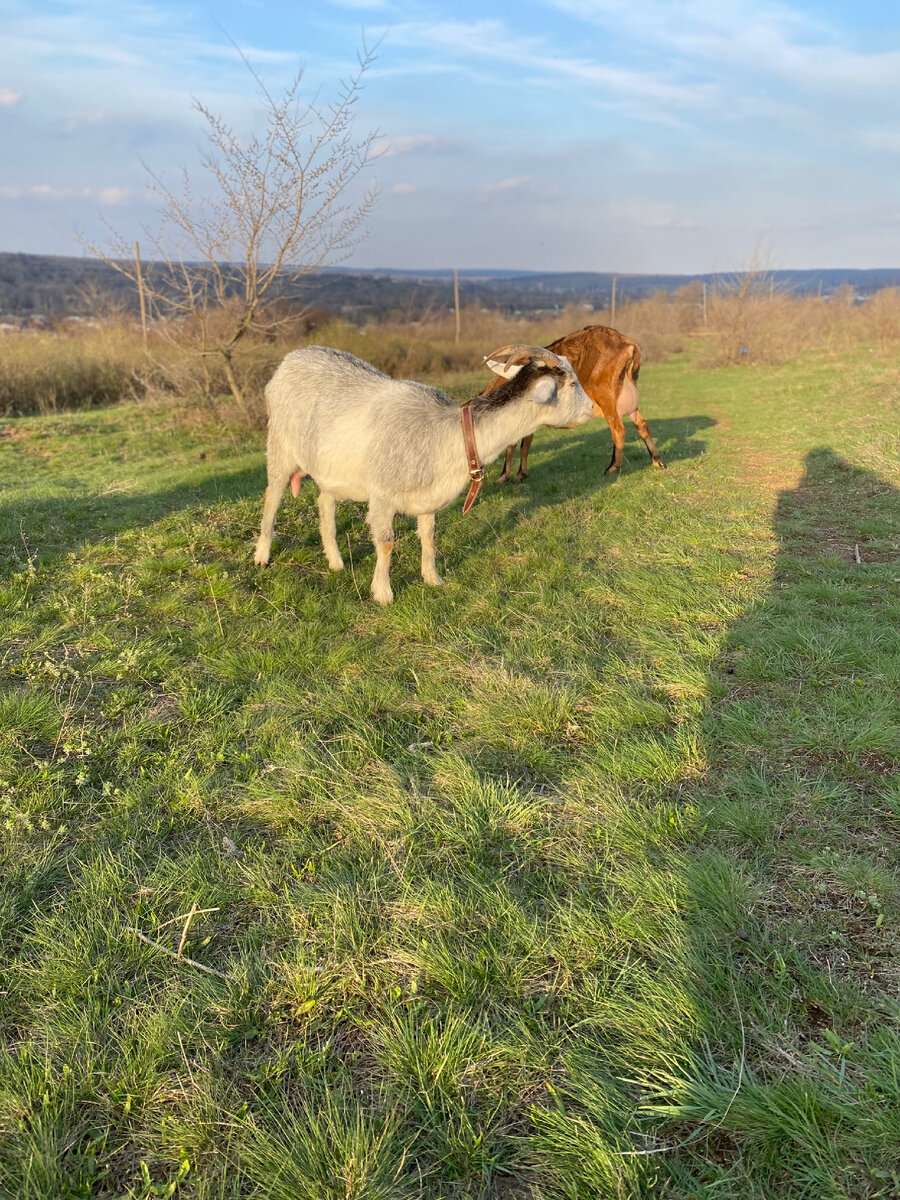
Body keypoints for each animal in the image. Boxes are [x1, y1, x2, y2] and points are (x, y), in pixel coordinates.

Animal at [254, 348, 595, 604]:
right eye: (572, 383)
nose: (593, 408)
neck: (450, 434)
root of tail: (290, 360)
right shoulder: (382, 495)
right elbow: (386, 542)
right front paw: (383, 593)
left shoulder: (428, 497)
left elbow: (429, 536)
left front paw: (433, 578)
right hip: (280, 447)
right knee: (272, 498)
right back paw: (261, 555)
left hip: (330, 467)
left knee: (325, 503)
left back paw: (336, 561)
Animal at [489, 328, 667, 482]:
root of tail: (628, 344)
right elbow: (521, 445)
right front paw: (516, 474)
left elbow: (516, 446)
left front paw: (509, 476)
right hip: (628, 398)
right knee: (641, 424)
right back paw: (657, 461)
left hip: (606, 397)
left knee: (618, 429)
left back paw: (612, 467)